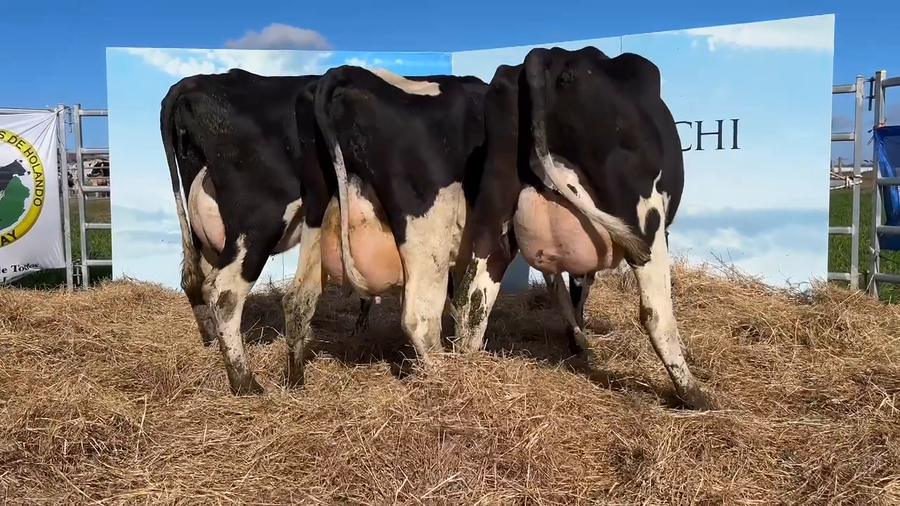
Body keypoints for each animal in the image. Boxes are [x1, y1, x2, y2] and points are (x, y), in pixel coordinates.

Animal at [160, 68, 376, 395]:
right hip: (262, 219)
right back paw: (246, 382)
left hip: (204, 224)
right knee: (224, 291)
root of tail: (194, 81)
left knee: (197, 279)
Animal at [281, 65, 489, 388]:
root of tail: (346, 72)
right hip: (428, 229)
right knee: (420, 317)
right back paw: (447, 379)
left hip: (316, 210)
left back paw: (296, 381)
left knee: (298, 299)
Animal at [450, 46, 712, 411]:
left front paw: (578, 344)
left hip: (494, 205)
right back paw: (692, 393)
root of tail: (550, 54)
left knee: (473, 296)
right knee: (655, 312)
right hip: (646, 218)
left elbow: (565, 289)